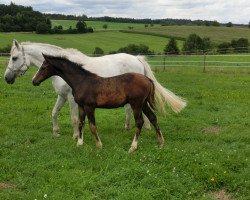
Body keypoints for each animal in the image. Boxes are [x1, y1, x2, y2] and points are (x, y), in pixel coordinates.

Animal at [3, 39, 187, 139]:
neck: (65, 71)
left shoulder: (72, 99)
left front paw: (76, 136)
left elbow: (74, 119)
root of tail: (136, 58)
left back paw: (145, 128)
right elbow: (54, 113)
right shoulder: (61, 96)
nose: (6, 78)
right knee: (130, 111)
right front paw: (56, 132)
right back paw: (128, 127)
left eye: (15, 57)